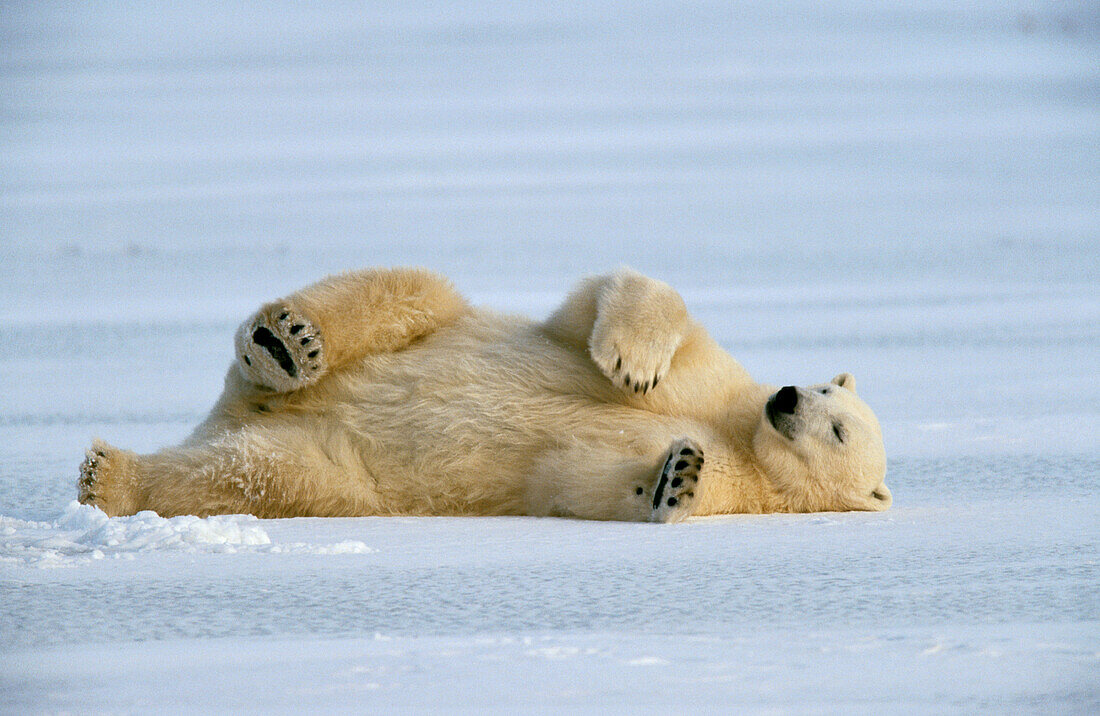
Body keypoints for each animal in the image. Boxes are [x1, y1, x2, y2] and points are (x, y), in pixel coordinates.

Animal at [77, 266, 888, 523]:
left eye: (839, 432)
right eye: (823, 386)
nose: (787, 397)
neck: (743, 428)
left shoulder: (747, 482)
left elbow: (579, 478)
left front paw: (678, 477)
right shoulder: (717, 377)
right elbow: (611, 308)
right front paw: (631, 363)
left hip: (330, 465)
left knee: (257, 474)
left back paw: (112, 477)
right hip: (420, 327)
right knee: (400, 294)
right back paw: (285, 343)